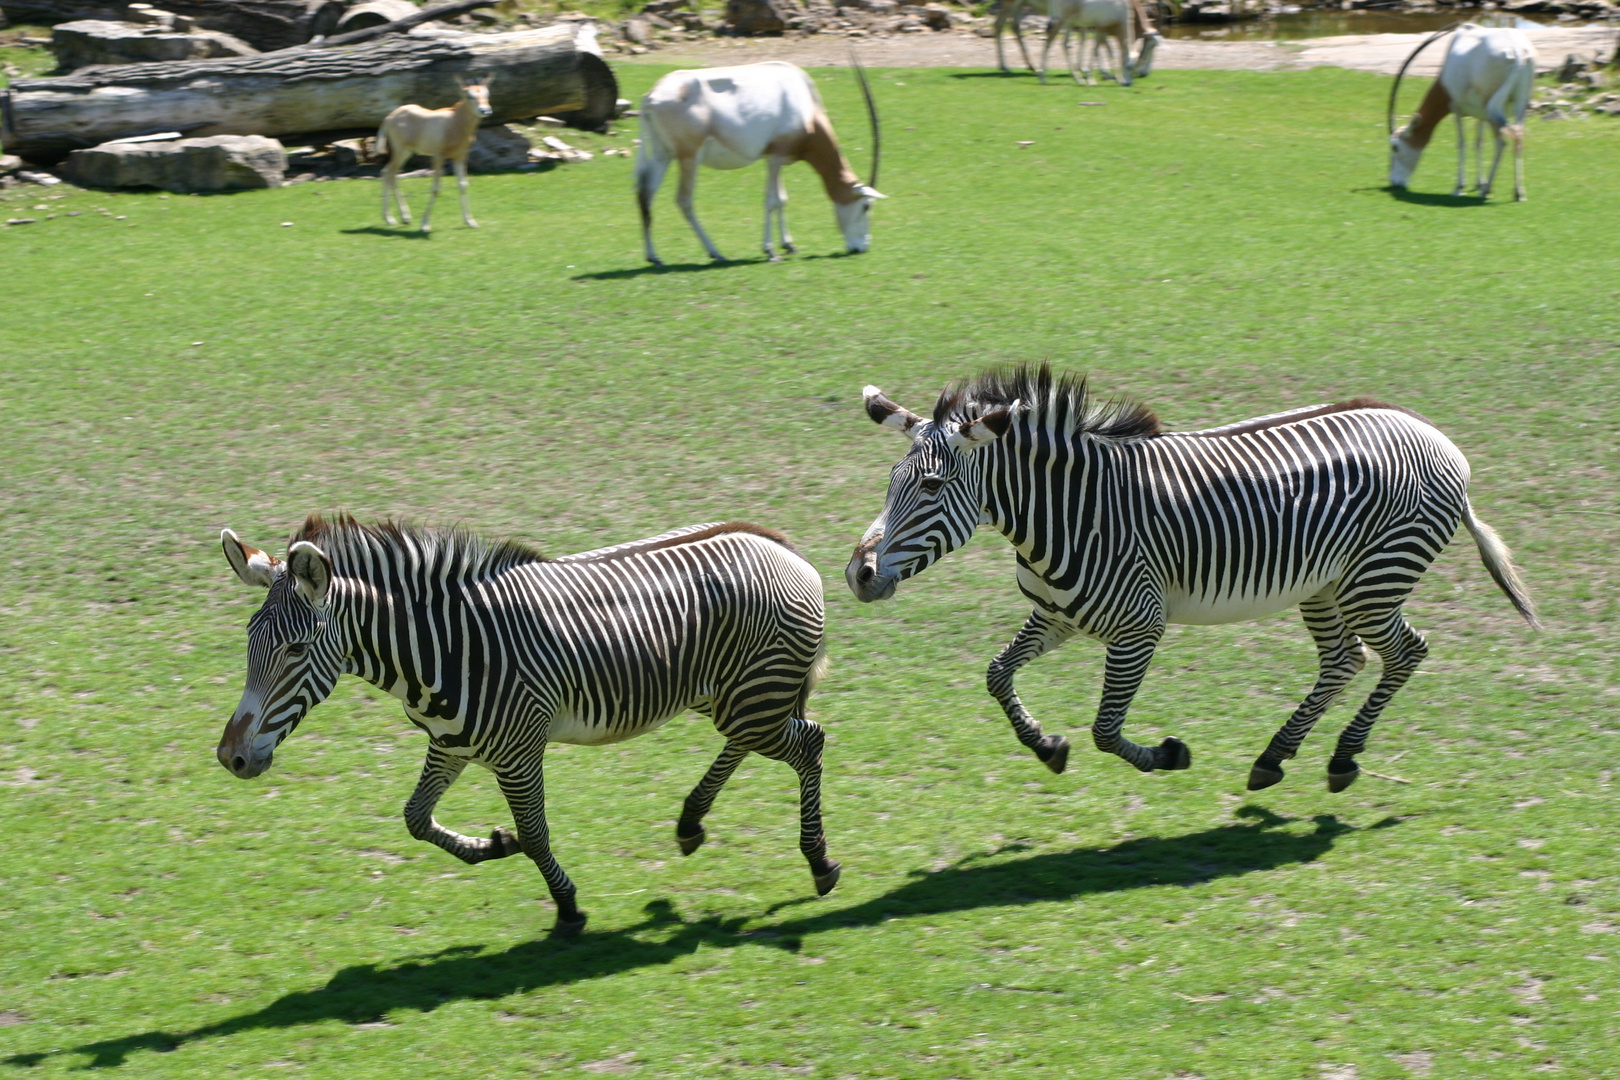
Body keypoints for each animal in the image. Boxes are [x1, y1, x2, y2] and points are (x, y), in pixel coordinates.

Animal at [213, 518, 835, 939]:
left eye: (295, 650)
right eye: (249, 642)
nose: (230, 758)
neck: (442, 653)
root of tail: (777, 543)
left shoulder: (518, 751)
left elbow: (535, 834)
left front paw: (568, 910)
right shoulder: (449, 743)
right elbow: (415, 819)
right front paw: (492, 845)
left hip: (750, 696)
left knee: (809, 743)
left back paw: (819, 864)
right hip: (726, 696)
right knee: (756, 740)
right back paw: (691, 823)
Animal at [379, 74, 492, 234]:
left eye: (486, 94)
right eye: (469, 95)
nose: (485, 110)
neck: (455, 121)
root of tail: (389, 117)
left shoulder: (460, 157)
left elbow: (463, 185)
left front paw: (471, 222)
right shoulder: (438, 157)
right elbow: (436, 189)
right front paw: (425, 224)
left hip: (407, 152)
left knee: (389, 173)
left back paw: (403, 218)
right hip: (400, 150)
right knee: (388, 173)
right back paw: (391, 218)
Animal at [631, 62, 887, 267]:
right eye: (866, 206)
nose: (861, 247)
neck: (803, 104)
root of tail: (651, 97)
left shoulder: (775, 157)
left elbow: (782, 199)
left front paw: (788, 245)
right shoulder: (776, 156)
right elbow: (771, 202)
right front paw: (770, 250)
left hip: (663, 154)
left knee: (645, 194)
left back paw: (654, 257)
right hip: (689, 156)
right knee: (684, 200)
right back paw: (716, 253)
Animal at [842, 365, 1535, 793]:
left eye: (932, 487)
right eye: (892, 483)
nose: (858, 574)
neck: (1068, 515)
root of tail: (1431, 431)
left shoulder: (1139, 628)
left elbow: (1106, 730)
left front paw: (1167, 755)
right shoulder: (1057, 618)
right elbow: (996, 675)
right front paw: (1045, 744)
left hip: (1376, 579)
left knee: (1406, 652)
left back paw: (1342, 758)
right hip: (1324, 585)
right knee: (1345, 661)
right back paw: (1274, 758)